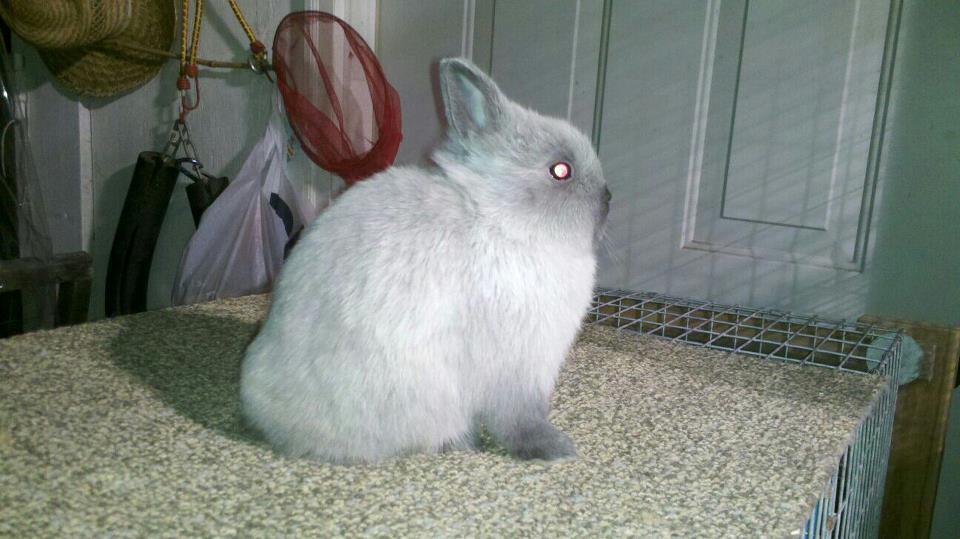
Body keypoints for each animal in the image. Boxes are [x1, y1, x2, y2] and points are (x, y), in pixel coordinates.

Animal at [240, 57, 611, 464]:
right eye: (560, 171)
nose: (609, 197)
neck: (504, 221)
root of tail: (269, 417)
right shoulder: (517, 369)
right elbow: (517, 419)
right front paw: (557, 450)